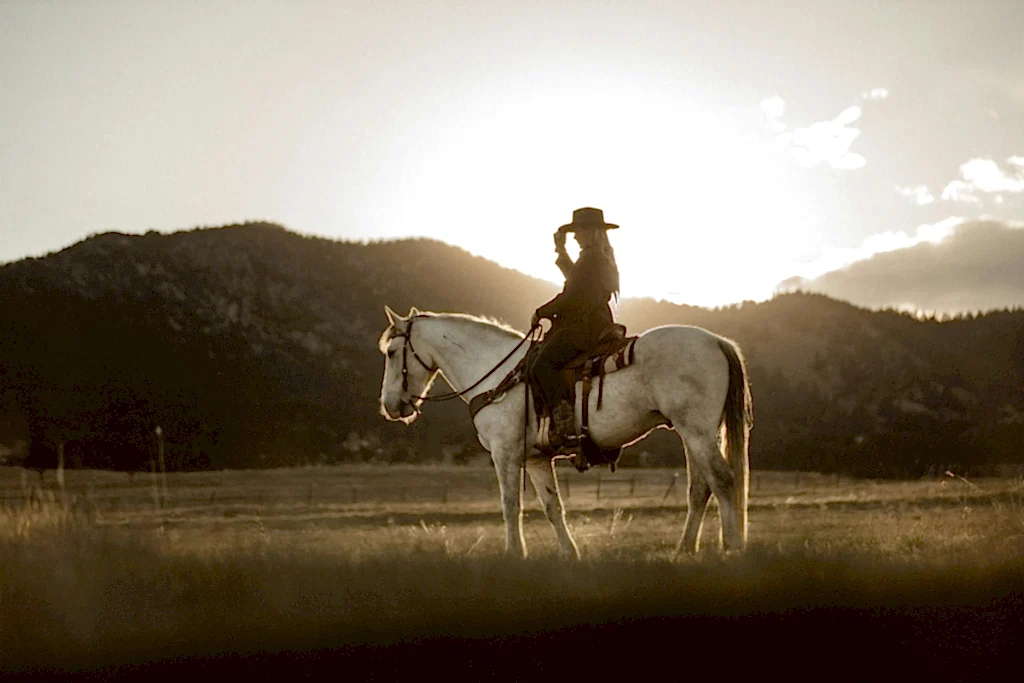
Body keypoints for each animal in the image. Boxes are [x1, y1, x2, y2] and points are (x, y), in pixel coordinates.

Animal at [378, 307, 753, 557]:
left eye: (393, 352)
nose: (390, 406)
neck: (496, 374)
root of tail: (716, 341)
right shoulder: (536, 459)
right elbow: (551, 506)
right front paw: (569, 554)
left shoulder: (505, 453)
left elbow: (510, 504)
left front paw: (514, 555)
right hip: (693, 433)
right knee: (700, 488)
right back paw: (684, 549)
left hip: (697, 431)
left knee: (723, 480)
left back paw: (733, 547)